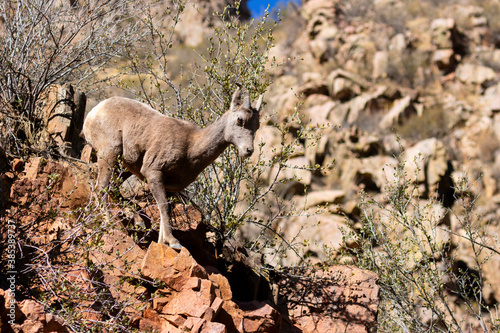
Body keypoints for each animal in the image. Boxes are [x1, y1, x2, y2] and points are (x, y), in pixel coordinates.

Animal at [83, 87, 262, 248]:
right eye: (240, 120)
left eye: (257, 126)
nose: (248, 150)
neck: (191, 147)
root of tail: (93, 112)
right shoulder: (153, 173)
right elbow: (164, 208)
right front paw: (174, 242)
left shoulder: (168, 187)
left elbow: (166, 211)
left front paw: (163, 242)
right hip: (109, 155)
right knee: (101, 187)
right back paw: (109, 222)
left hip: (123, 168)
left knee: (113, 189)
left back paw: (138, 222)